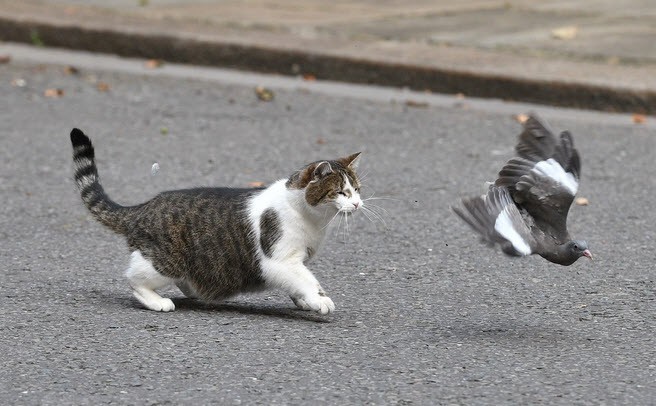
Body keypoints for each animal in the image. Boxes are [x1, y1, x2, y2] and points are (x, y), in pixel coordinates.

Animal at [72, 127, 364, 314]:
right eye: (341, 192)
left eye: (357, 189)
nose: (358, 203)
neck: (313, 220)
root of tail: (144, 207)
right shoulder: (280, 260)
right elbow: (308, 280)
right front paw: (319, 300)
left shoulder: (295, 261)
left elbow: (299, 281)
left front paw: (304, 301)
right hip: (164, 262)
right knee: (134, 279)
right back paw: (157, 301)